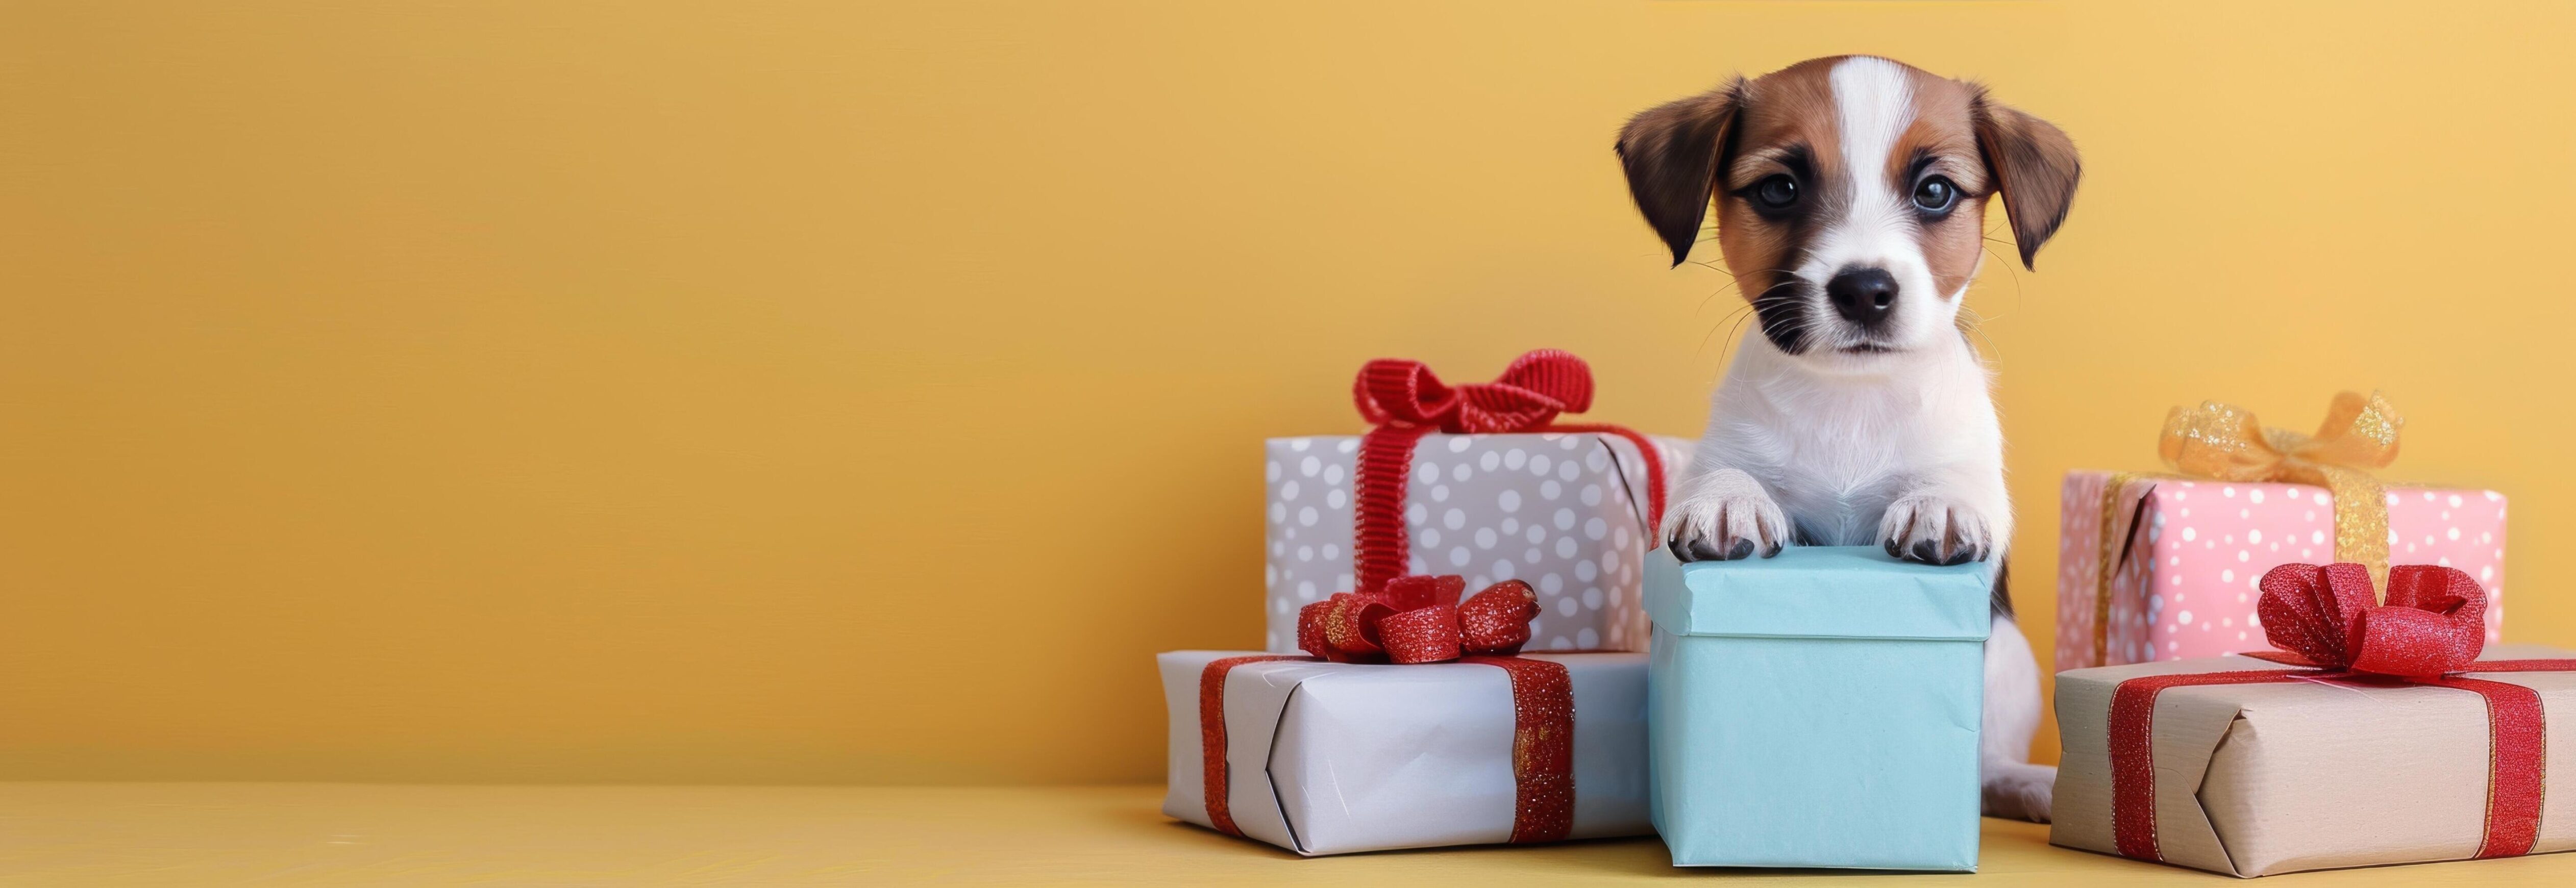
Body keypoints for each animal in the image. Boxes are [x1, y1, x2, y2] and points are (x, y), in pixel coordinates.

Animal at [1618, 54, 2081, 818]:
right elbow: (1723, 471)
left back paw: (2028, 783)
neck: (1851, 400)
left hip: (2011, 662)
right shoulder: (1723, 449)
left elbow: (1957, 480)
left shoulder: (1975, 467)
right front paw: (1728, 500)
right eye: (1779, 189)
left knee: (1984, 763)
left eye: (1934, 191)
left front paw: (1938, 504)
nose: (1865, 289)